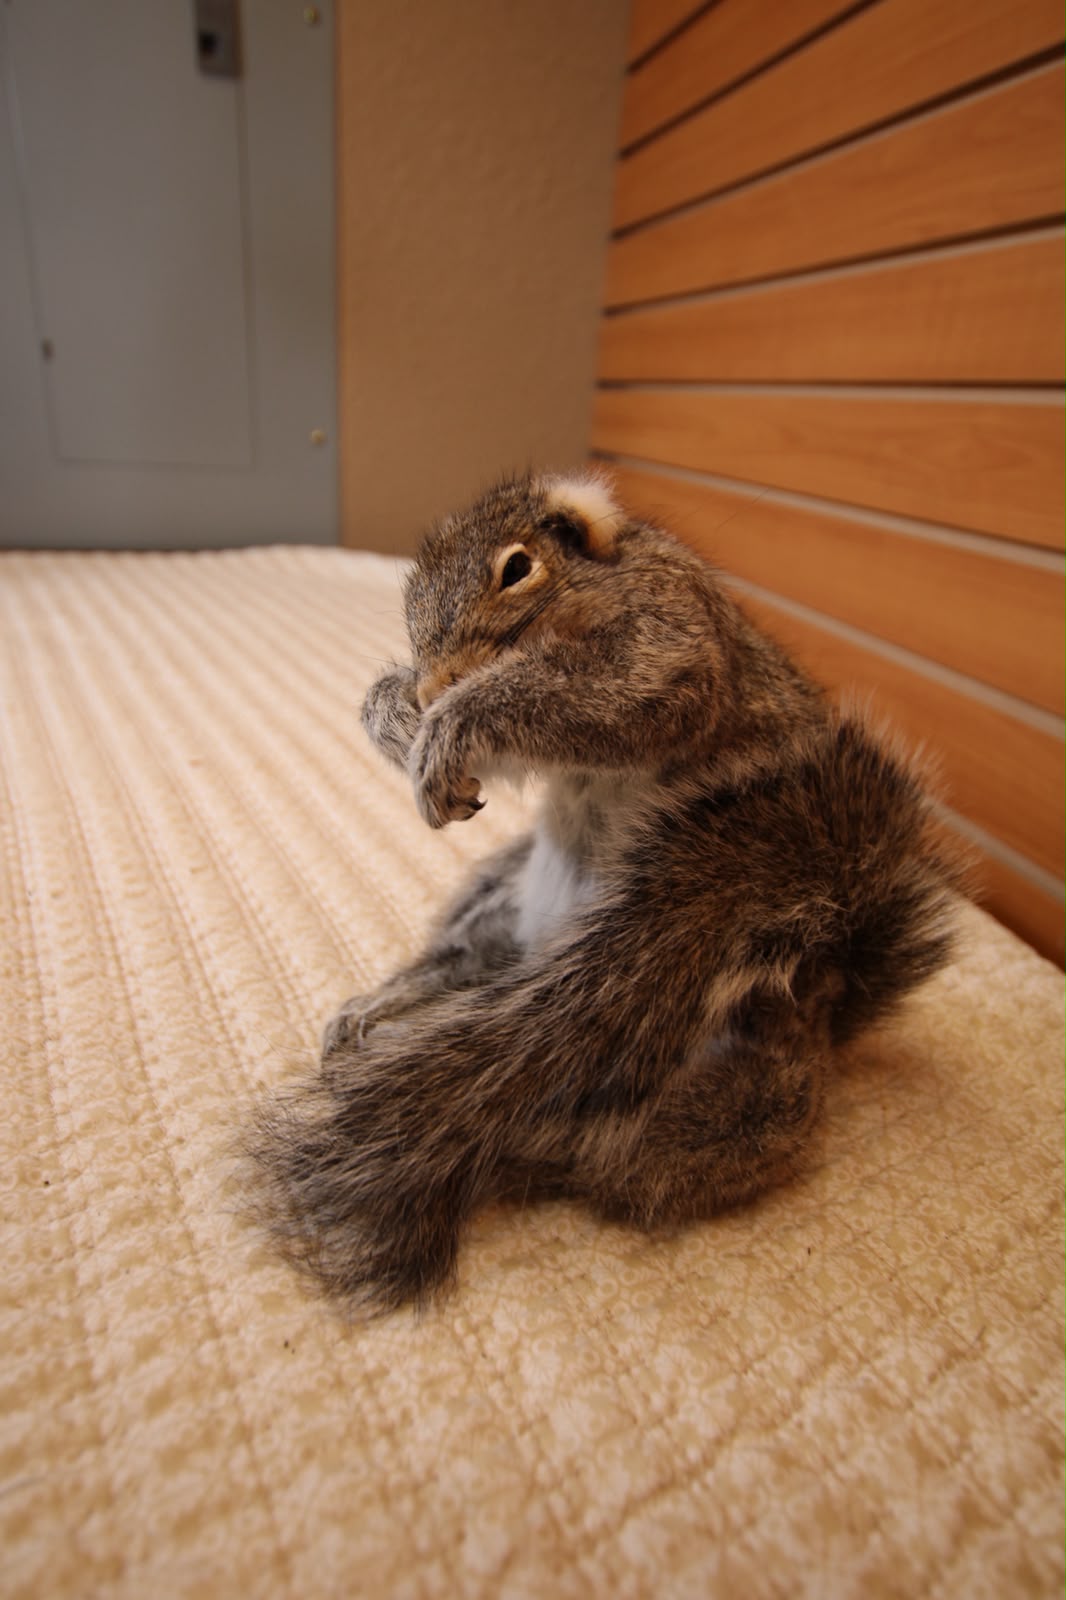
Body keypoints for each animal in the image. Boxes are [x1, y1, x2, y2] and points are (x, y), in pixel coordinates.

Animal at [250, 470, 959, 1314]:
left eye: (516, 569)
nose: (433, 682)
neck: (603, 583)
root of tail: (825, 990)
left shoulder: (669, 646)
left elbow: (607, 700)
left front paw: (451, 721)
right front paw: (394, 711)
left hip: (734, 1074)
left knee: (621, 1158)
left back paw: (534, 1140)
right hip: (498, 902)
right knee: (466, 966)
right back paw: (381, 1011)